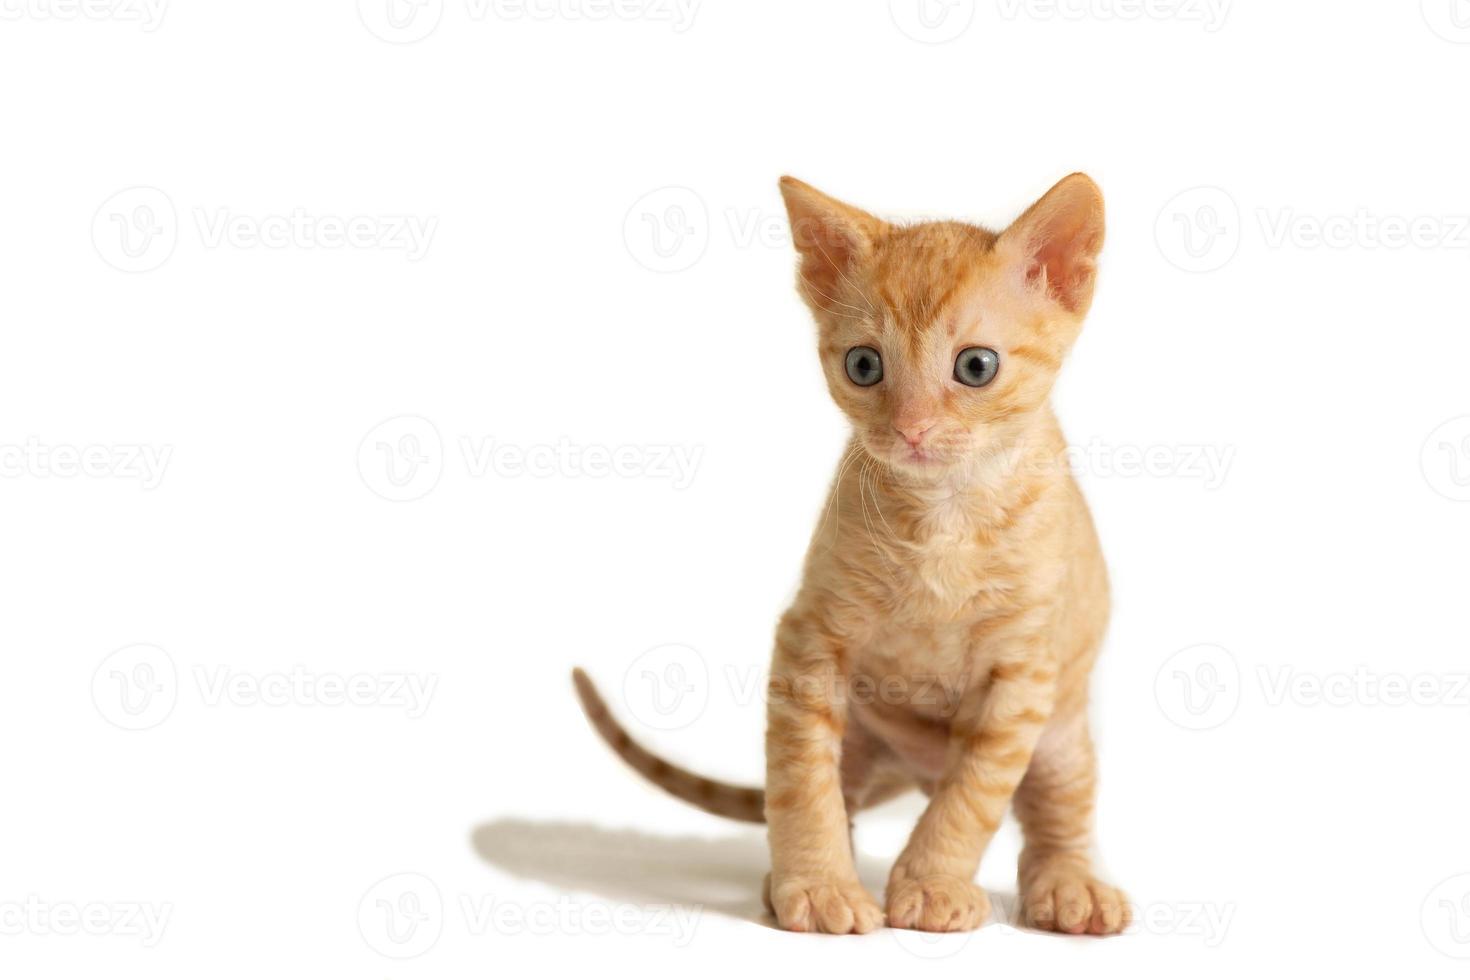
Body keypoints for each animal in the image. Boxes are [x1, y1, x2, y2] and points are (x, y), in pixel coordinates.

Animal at [573, 174, 1123, 934]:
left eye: (975, 366)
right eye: (864, 365)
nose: (912, 429)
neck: (944, 516)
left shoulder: (1022, 675)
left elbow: (973, 796)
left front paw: (931, 883)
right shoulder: (809, 639)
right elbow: (800, 781)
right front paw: (818, 884)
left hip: (1062, 730)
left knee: (1056, 810)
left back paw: (1072, 885)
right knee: (838, 793)